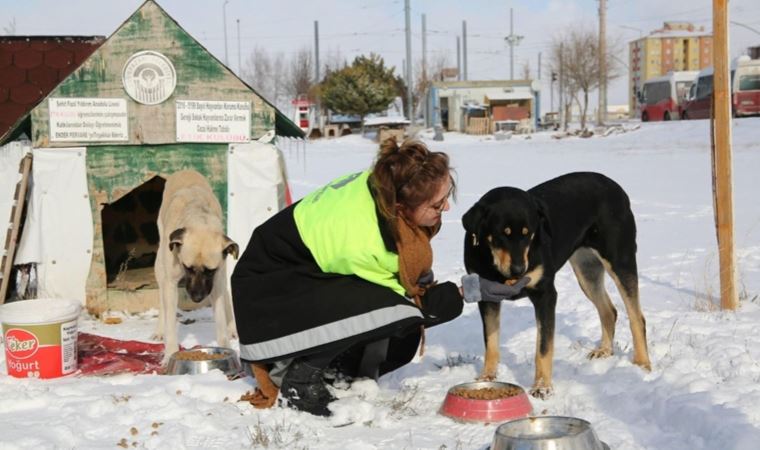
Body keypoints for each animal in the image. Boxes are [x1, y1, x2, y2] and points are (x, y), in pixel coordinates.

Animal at [153, 169, 239, 362]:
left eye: (210, 271)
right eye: (188, 268)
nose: (198, 298)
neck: (199, 220)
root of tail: (186, 170)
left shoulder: (217, 279)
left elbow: (221, 321)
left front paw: (226, 348)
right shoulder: (171, 283)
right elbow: (170, 323)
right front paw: (169, 354)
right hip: (160, 267)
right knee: (162, 299)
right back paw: (160, 331)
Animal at [464, 172, 652, 398]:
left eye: (529, 233)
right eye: (502, 233)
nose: (519, 270)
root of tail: (616, 187)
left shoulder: (545, 294)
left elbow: (543, 348)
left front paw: (542, 387)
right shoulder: (486, 296)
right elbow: (491, 342)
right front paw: (487, 378)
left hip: (620, 260)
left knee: (636, 317)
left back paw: (642, 364)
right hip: (587, 270)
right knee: (609, 310)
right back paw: (604, 351)